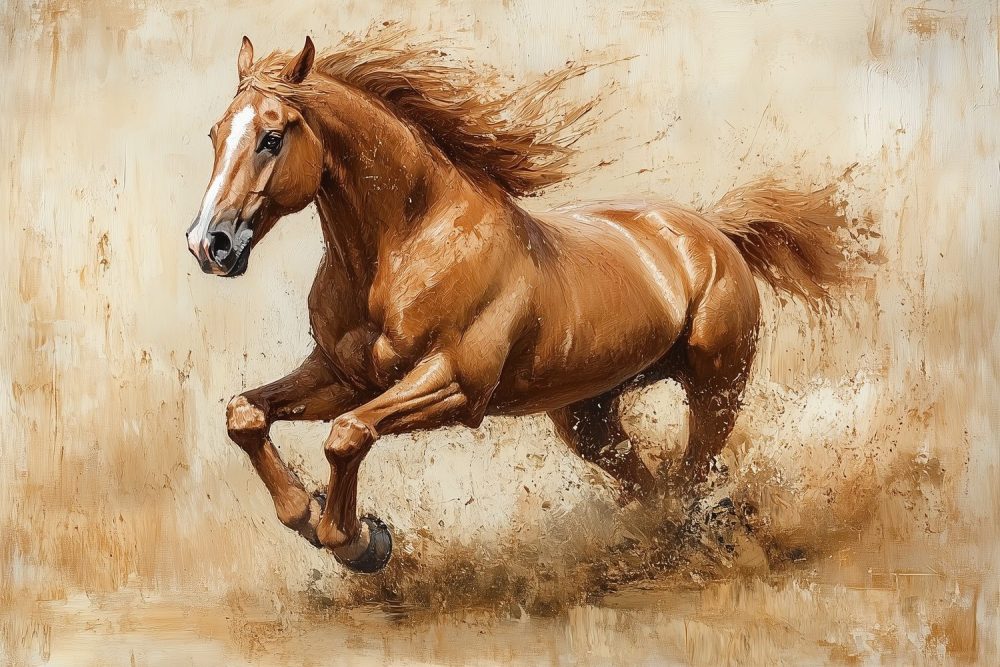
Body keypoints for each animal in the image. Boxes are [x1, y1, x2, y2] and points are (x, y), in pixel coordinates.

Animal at [185, 35, 852, 573]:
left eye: (272, 137)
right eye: (214, 134)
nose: (209, 244)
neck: (405, 245)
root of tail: (714, 234)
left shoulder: (457, 384)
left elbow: (346, 435)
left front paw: (359, 543)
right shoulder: (342, 375)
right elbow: (245, 415)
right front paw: (309, 513)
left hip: (716, 386)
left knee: (690, 477)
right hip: (589, 417)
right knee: (650, 486)